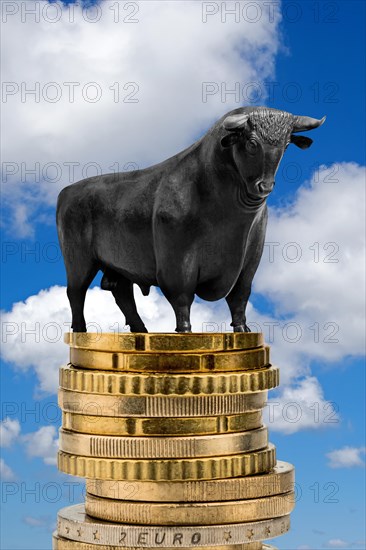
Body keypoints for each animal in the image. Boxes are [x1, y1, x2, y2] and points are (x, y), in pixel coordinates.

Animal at [57, 106, 326, 334]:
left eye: (286, 145)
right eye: (252, 143)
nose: (265, 186)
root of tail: (67, 191)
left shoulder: (249, 260)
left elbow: (240, 296)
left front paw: (242, 329)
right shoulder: (177, 260)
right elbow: (182, 297)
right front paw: (184, 331)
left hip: (117, 263)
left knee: (122, 293)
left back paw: (141, 331)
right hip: (78, 260)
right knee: (76, 292)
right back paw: (80, 331)